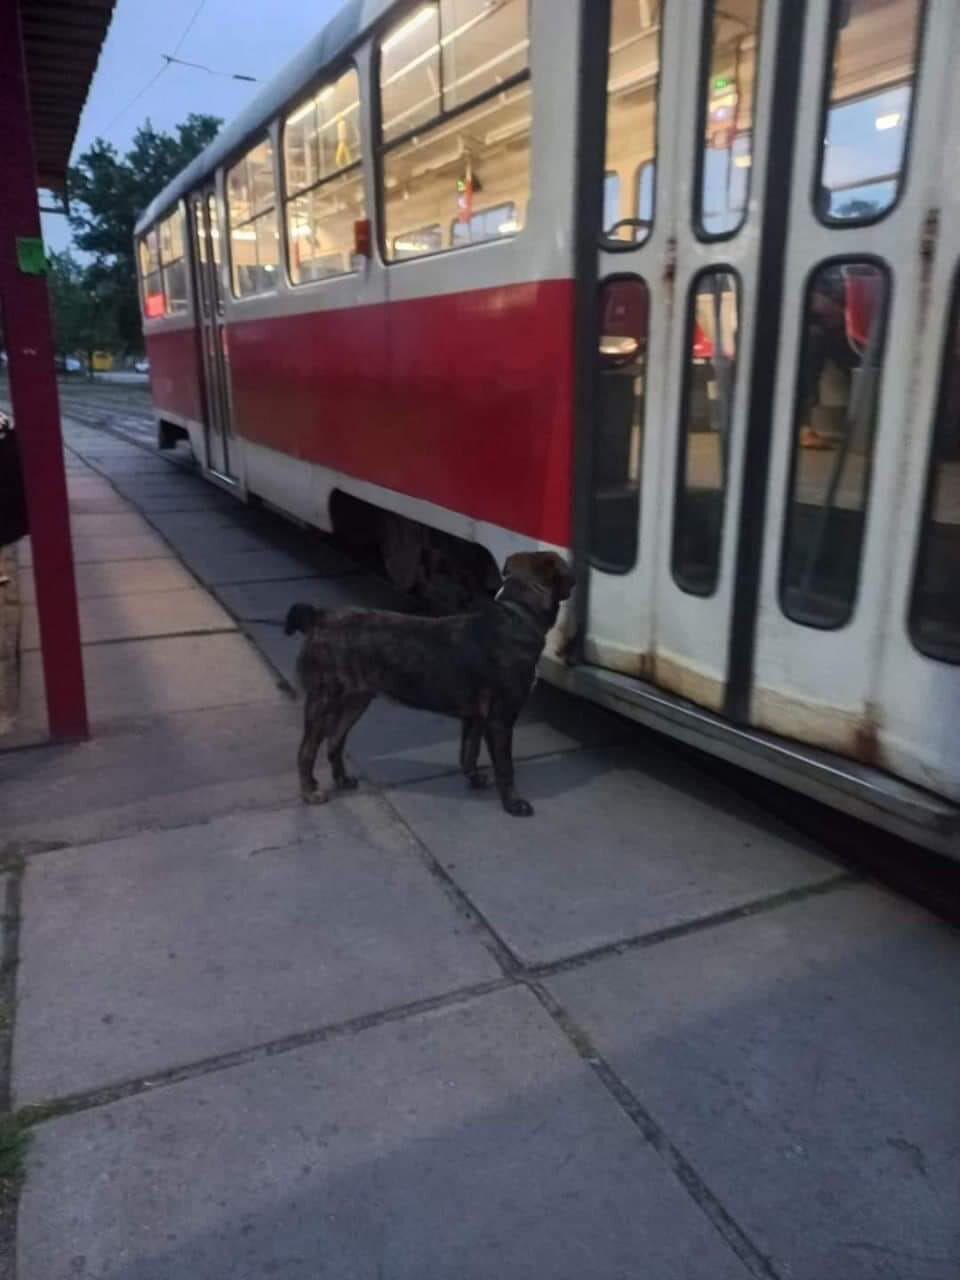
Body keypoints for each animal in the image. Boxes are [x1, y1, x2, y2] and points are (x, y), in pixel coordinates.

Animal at [281, 547, 576, 808]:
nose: (575, 580)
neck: (518, 615)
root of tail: (319, 617)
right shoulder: (500, 719)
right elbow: (505, 766)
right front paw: (513, 803)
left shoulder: (475, 716)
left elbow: (468, 752)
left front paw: (474, 779)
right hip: (324, 700)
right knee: (306, 750)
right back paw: (310, 792)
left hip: (356, 700)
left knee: (334, 741)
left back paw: (341, 780)